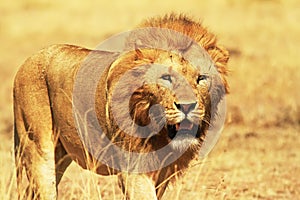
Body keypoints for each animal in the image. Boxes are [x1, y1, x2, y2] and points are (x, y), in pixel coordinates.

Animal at [13, 13, 230, 199]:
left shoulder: (162, 174)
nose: (187, 106)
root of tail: (28, 60)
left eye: (201, 78)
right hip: (38, 148)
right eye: (166, 78)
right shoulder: (134, 172)